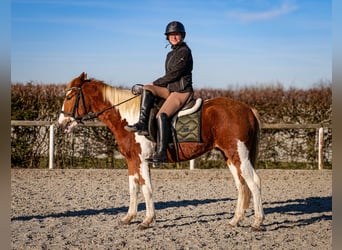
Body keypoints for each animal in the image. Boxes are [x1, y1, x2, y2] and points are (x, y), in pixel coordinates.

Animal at [58, 72, 264, 230]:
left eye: (69, 97)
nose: (62, 124)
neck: (130, 119)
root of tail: (247, 108)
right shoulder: (131, 160)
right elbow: (134, 188)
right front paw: (129, 218)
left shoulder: (142, 160)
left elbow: (146, 188)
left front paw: (147, 220)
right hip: (230, 156)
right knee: (241, 185)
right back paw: (235, 220)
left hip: (240, 155)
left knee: (254, 182)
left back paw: (257, 222)